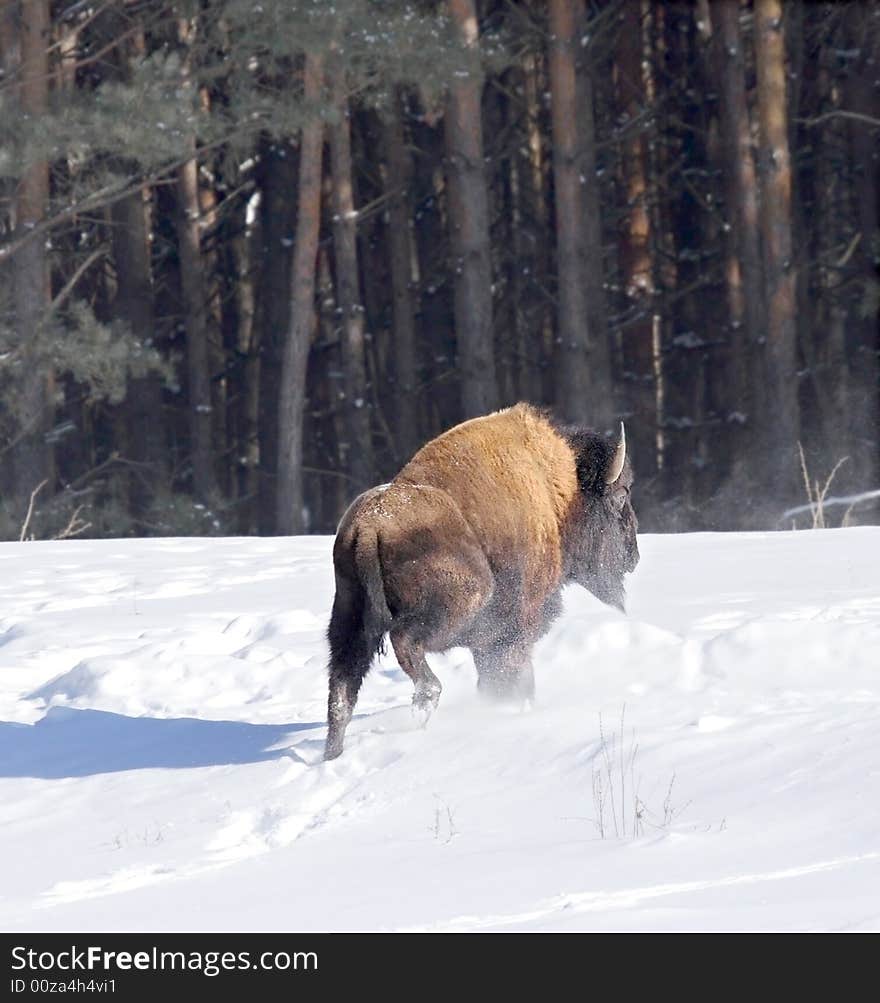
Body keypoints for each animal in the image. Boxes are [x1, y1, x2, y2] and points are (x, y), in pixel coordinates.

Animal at [323, 401, 638, 758]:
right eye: (622, 494)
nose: (633, 554)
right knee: (405, 642)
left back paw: (333, 753)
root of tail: (370, 525)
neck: (557, 492)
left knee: (342, 689)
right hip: (466, 602)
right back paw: (427, 699)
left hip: (348, 616)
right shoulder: (516, 629)